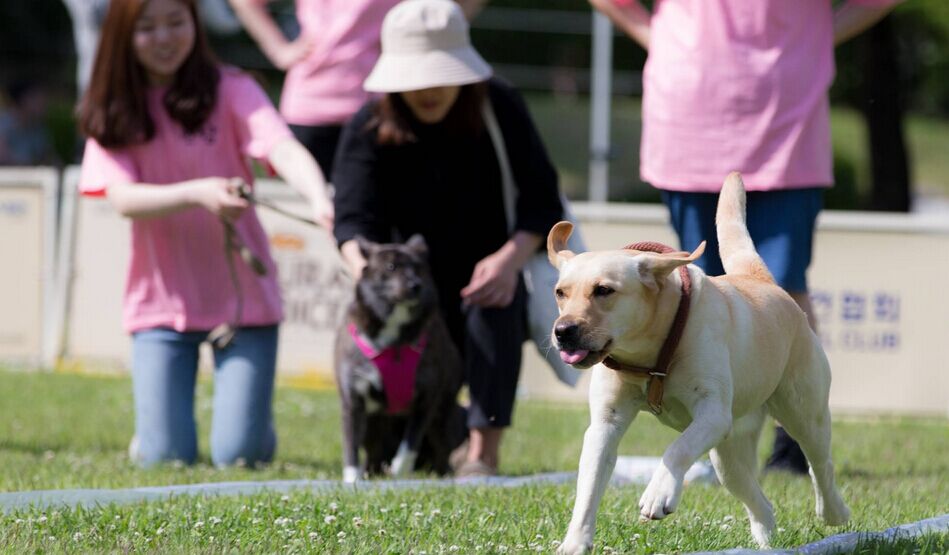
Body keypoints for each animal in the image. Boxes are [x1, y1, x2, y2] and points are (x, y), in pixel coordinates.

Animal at [334, 235, 466, 482]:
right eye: (391, 267)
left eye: (418, 268)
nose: (416, 285)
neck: (394, 338)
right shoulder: (353, 398)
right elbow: (350, 443)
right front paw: (352, 478)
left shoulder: (425, 399)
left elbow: (410, 443)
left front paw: (399, 470)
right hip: (373, 424)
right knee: (373, 450)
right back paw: (369, 471)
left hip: (444, 417)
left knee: (442, 447)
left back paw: (444, 474)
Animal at [552, 172, 848, 552]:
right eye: (561, 292)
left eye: (604, 290)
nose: (563, 331)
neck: (653, 353)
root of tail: (761, 279)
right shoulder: (606, 423)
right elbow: (588, 485)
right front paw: (575, 542)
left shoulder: (712, 413)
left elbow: (676, 449)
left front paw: (658, 493)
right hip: (727, 454)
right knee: (757, 497)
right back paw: (766, 539)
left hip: (803, 412)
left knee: (820, 464)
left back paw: (834, 512)